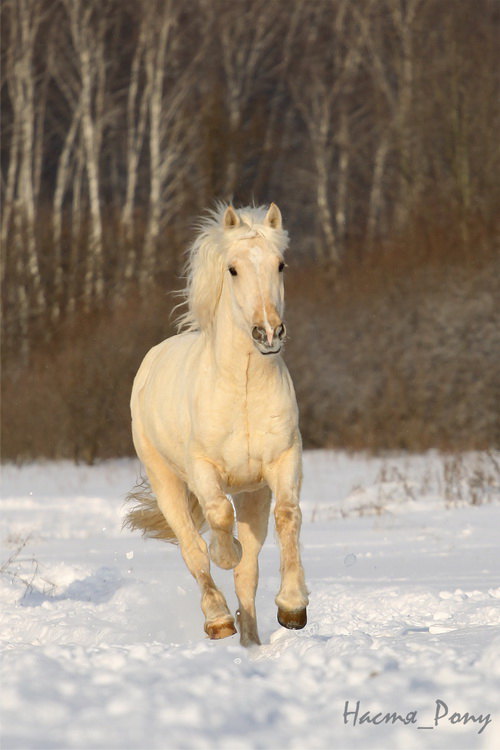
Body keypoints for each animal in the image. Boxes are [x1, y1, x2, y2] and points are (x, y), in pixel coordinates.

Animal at [125, 204, 308, 648]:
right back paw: (219, 620)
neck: (241, 387)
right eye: (233, 269)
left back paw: (250, 639)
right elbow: (218, 517)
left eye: (280, 264)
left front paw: (293, 607)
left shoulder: (282, 462)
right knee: (192, 549)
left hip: (252, 493)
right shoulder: (203, 470)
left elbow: (288, 517)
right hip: (167, 482)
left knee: (248, 575)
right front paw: (226, 551)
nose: (268, 332)